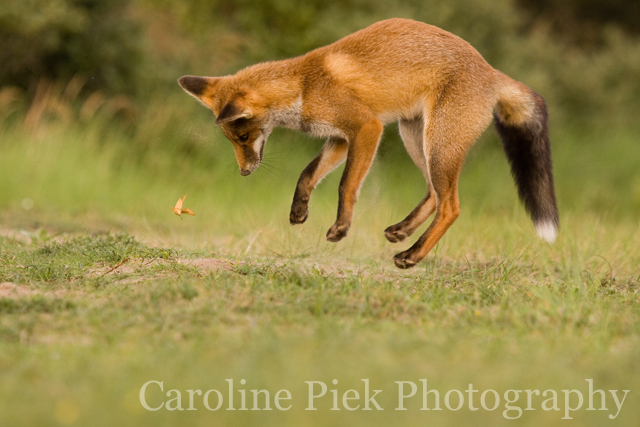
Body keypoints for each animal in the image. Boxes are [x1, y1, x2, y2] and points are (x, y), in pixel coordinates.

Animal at [178, 19, 556, 270]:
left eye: (242, 137)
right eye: (232, 140)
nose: (244, 172)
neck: (304, 86)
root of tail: (491, 71)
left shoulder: (366, 128)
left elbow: (346, 185)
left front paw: (341, 228)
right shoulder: (340, 137)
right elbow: (307, 174)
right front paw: (299, 211)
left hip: (437, 145)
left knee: (451, 206)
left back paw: (412, 256)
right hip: (415, 138)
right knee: (435, 194)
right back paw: (402, 232)